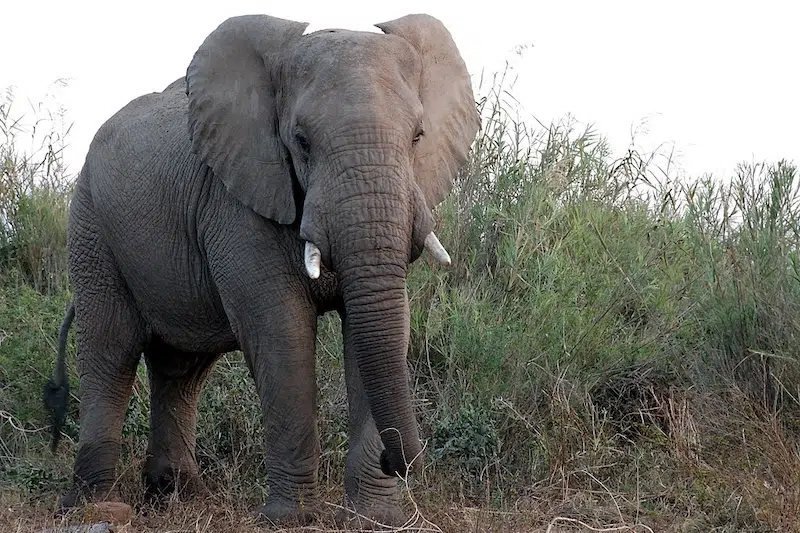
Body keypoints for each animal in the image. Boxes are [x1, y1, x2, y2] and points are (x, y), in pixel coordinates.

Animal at [43, 11, 480, 528]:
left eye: (417, 137)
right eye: (301, 141)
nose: (401, 462)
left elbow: (377, 331)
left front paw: (379, 518)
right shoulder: (237, 204)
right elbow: (281, 332)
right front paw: (290, 519)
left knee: (181, 368)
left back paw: (179, 497)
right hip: (91, 228)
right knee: (110, 352)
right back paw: (95, 505)